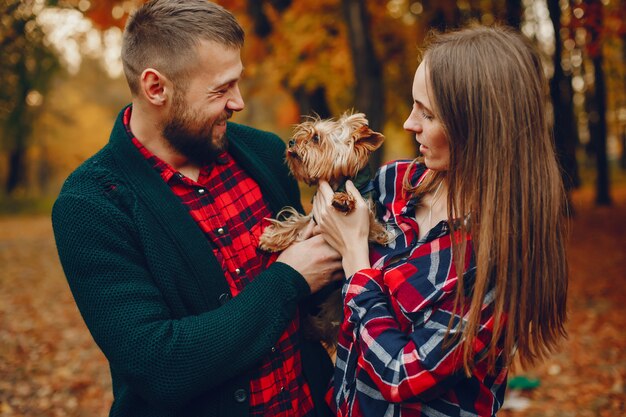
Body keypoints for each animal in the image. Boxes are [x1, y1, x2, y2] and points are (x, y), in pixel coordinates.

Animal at [258, 109, 390, 344]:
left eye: (316, 139)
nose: (291, 141)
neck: (337, 182)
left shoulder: (373, 225)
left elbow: (372, 223)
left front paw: (344, 199)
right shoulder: (313, 218)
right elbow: (296, 221)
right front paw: (272, 238)